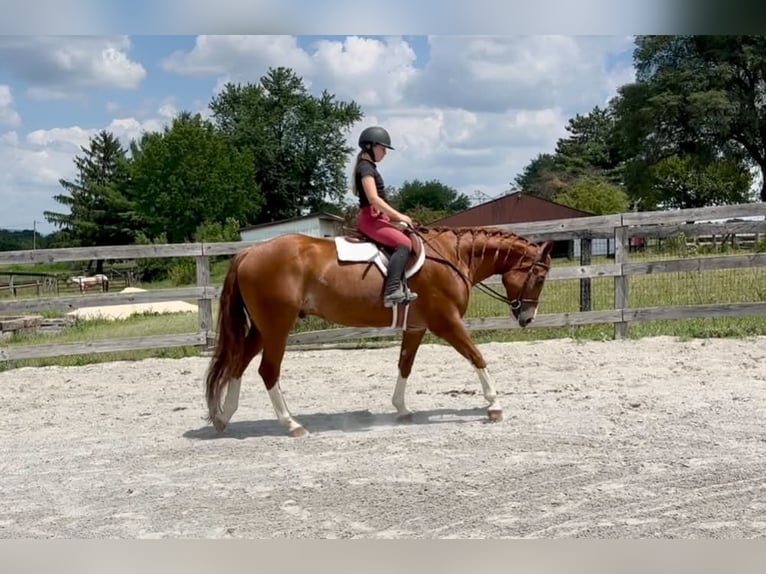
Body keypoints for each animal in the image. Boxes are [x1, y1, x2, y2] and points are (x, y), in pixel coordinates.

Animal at [204, 225, 554, 437]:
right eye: (539, 278)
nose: (527, 318)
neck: (451, 258)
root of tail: (250, 252)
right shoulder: (447, 323)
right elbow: (477, 357)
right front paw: (494, 405)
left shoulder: (417, 326)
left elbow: (405, 364)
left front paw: (402, 409)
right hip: (278, 326)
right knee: (267, 370)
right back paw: (291, 424)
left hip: (263, 328)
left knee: (238, 364)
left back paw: (223, 417)